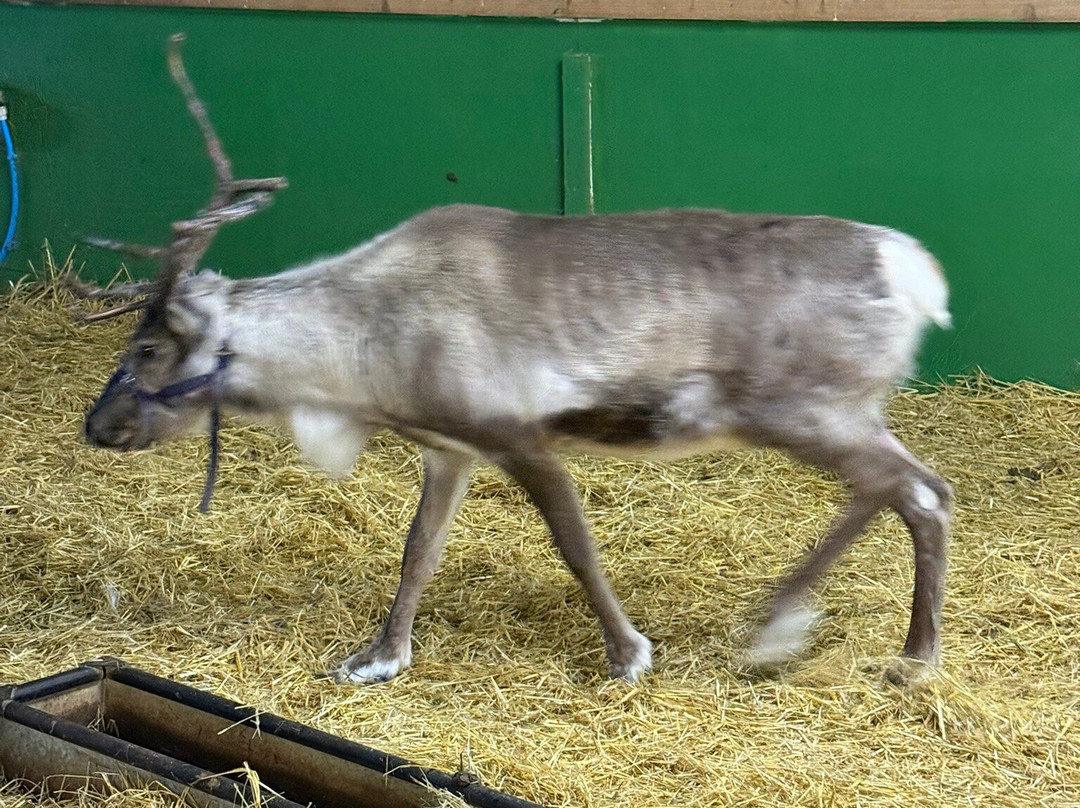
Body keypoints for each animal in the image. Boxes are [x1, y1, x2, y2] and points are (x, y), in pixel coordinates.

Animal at [78, 35, 953, 685]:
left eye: (147, 346)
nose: (97, 425)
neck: (362, 352)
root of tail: (916, 275)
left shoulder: (518, 435)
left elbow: (576, 548)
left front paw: (628, 654)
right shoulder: (447, 449)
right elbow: (418, 552)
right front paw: (379, 657)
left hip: (804, 410)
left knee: (912, 489)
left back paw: (814, 636)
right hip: (839, 412)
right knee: (911, 489)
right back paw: (876, 646)